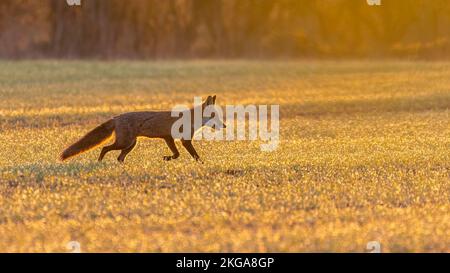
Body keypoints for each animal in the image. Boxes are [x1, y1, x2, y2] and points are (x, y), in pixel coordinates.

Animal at [60, 95, 225, 163]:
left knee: (119, 157)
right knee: (105, 148)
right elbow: (195, 156)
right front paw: (202, 164)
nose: (224, 125)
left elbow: (176, 154)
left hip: (130, 144)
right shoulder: (184, 141)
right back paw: (99, 162)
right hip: (124, 142)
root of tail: (116, 117)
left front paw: (167, 158)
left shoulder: (168, 137)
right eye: (214, 115)